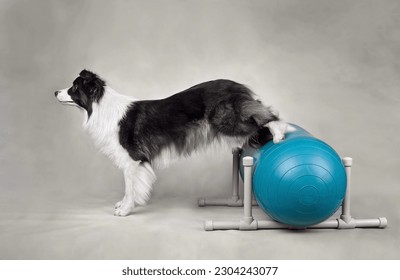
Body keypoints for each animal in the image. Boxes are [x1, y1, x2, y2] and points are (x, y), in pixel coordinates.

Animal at [54, 70, 290, 217]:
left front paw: (125, 210)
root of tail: (238, 86)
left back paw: (281, 132)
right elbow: (129, 188)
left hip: (227, 120)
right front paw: (123, 205)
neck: (100, 106)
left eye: (74, 88)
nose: (55, 92)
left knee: (266, 116)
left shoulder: (133, 159)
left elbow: (130, 187)